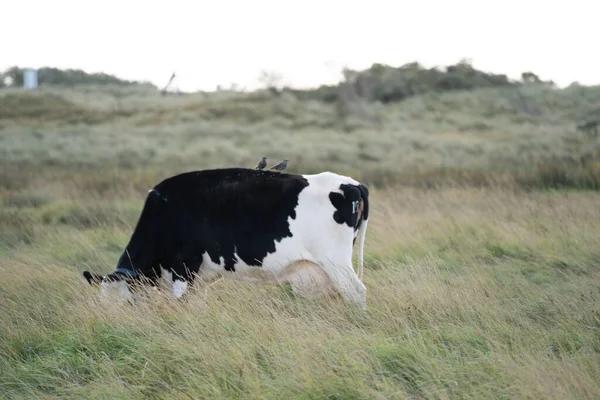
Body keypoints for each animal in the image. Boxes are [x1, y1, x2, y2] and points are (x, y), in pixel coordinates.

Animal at [81, 166, 368, 310]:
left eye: (128, 303)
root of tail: (351, 183)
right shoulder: (197, 278)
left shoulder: (183, 266)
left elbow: (180, 303)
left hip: (336, 262)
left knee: (357, 293)